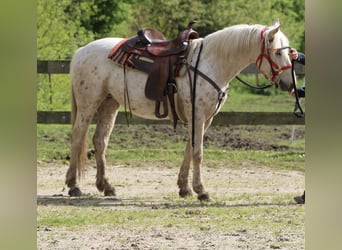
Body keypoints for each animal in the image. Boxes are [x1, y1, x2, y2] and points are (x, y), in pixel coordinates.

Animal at [66, 20, 294, 201]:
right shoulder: (198, 115)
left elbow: (189, 150)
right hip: (88, 104)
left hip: (109, 103)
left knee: (100, 141)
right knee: (77, 137)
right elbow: (198, 152)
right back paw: (73, 186)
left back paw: (106, 186)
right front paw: (201, 190)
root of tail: (81, 51)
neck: (211, 62)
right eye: (278, 51)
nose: (289, 84)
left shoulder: (204, 118)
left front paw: (184, 188)